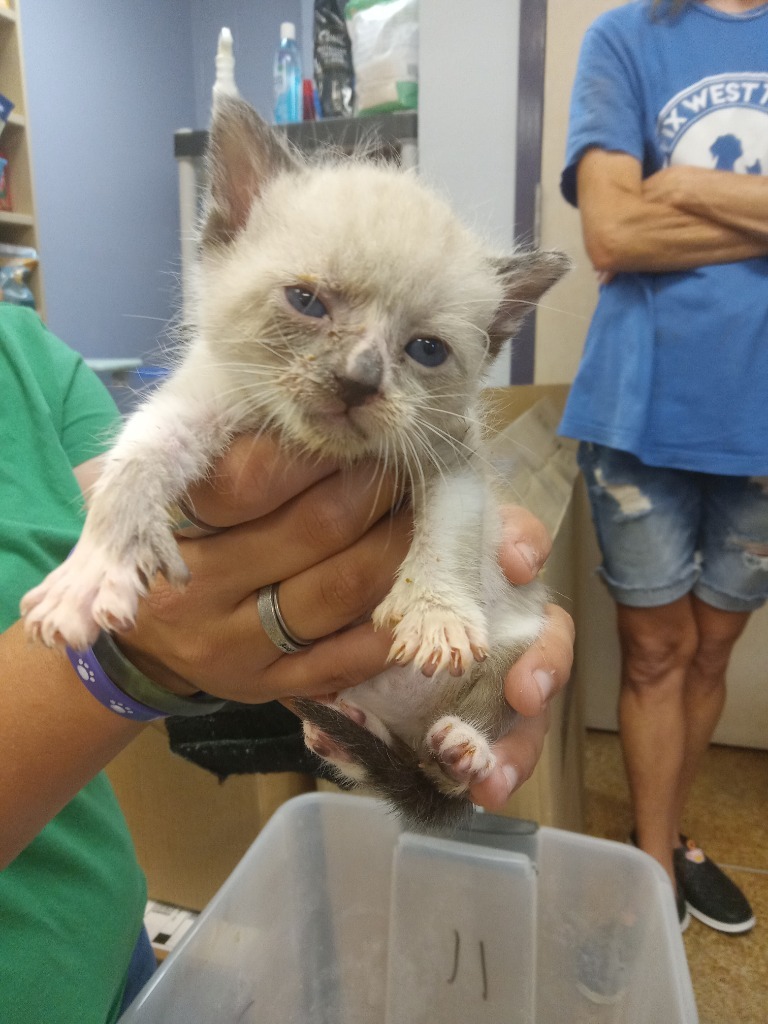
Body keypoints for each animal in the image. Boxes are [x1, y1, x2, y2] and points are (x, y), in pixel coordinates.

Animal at [22, 96, 573, 831]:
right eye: (307, 302)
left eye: (425, 350)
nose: (358, 380)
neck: (316, 450)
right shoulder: (198, 403)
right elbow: (132, 471)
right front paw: (91, 575)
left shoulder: (450, 457)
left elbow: (450, 533)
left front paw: (437, 616)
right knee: (377, 759)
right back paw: (342, 730)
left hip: (519, 644)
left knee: (465, 739)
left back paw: (462, 751)